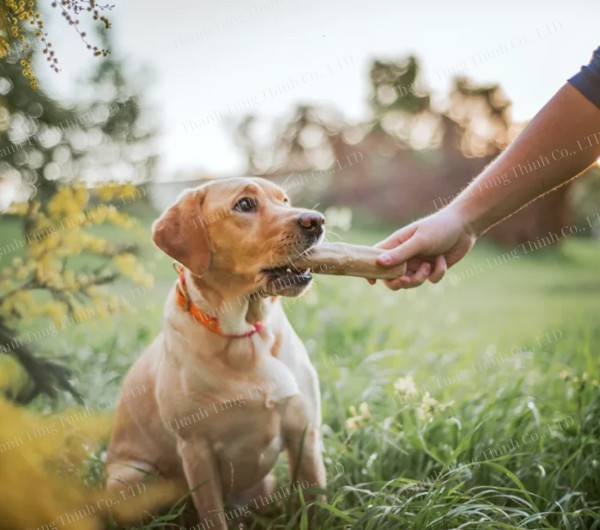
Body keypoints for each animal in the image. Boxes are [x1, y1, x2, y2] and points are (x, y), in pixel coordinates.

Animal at [105, 176, 326, 524]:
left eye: (285, 200)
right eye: (245, 204)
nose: (316, 221)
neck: (244, 334)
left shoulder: (305, 432)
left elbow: (316, 501)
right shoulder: (197, 450)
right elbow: (213, 515)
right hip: (129, 477)